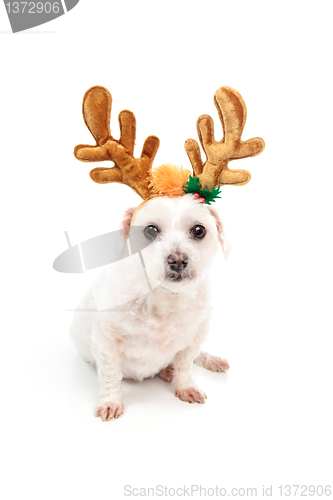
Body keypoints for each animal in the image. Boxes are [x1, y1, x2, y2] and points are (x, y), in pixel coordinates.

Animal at [69, 193, 231, 420]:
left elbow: (185, 364)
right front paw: (111, 400)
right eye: (151, 230)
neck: (165, 296)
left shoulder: (196, 336)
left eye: (199, 230)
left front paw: (185, 386)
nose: (178, 260)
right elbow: (111, 375)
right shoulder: (106, 340)